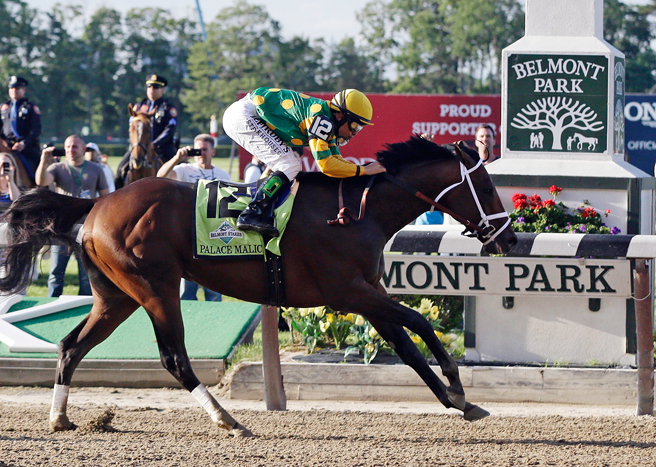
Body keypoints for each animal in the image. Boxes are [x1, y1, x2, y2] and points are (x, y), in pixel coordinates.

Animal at [0, 137, 516, 436]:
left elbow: (408, 348)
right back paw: (228, 420)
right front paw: (458, 387)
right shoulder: (349, 292)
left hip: (116, 296)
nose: (509, 237)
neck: (359, 212)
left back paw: (60, 417)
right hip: (156, 287)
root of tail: (96, 204)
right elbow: (420, 325)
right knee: (173, 357)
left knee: (71, 345)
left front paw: (460, 401)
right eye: (488, 187)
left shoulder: (367, 296)